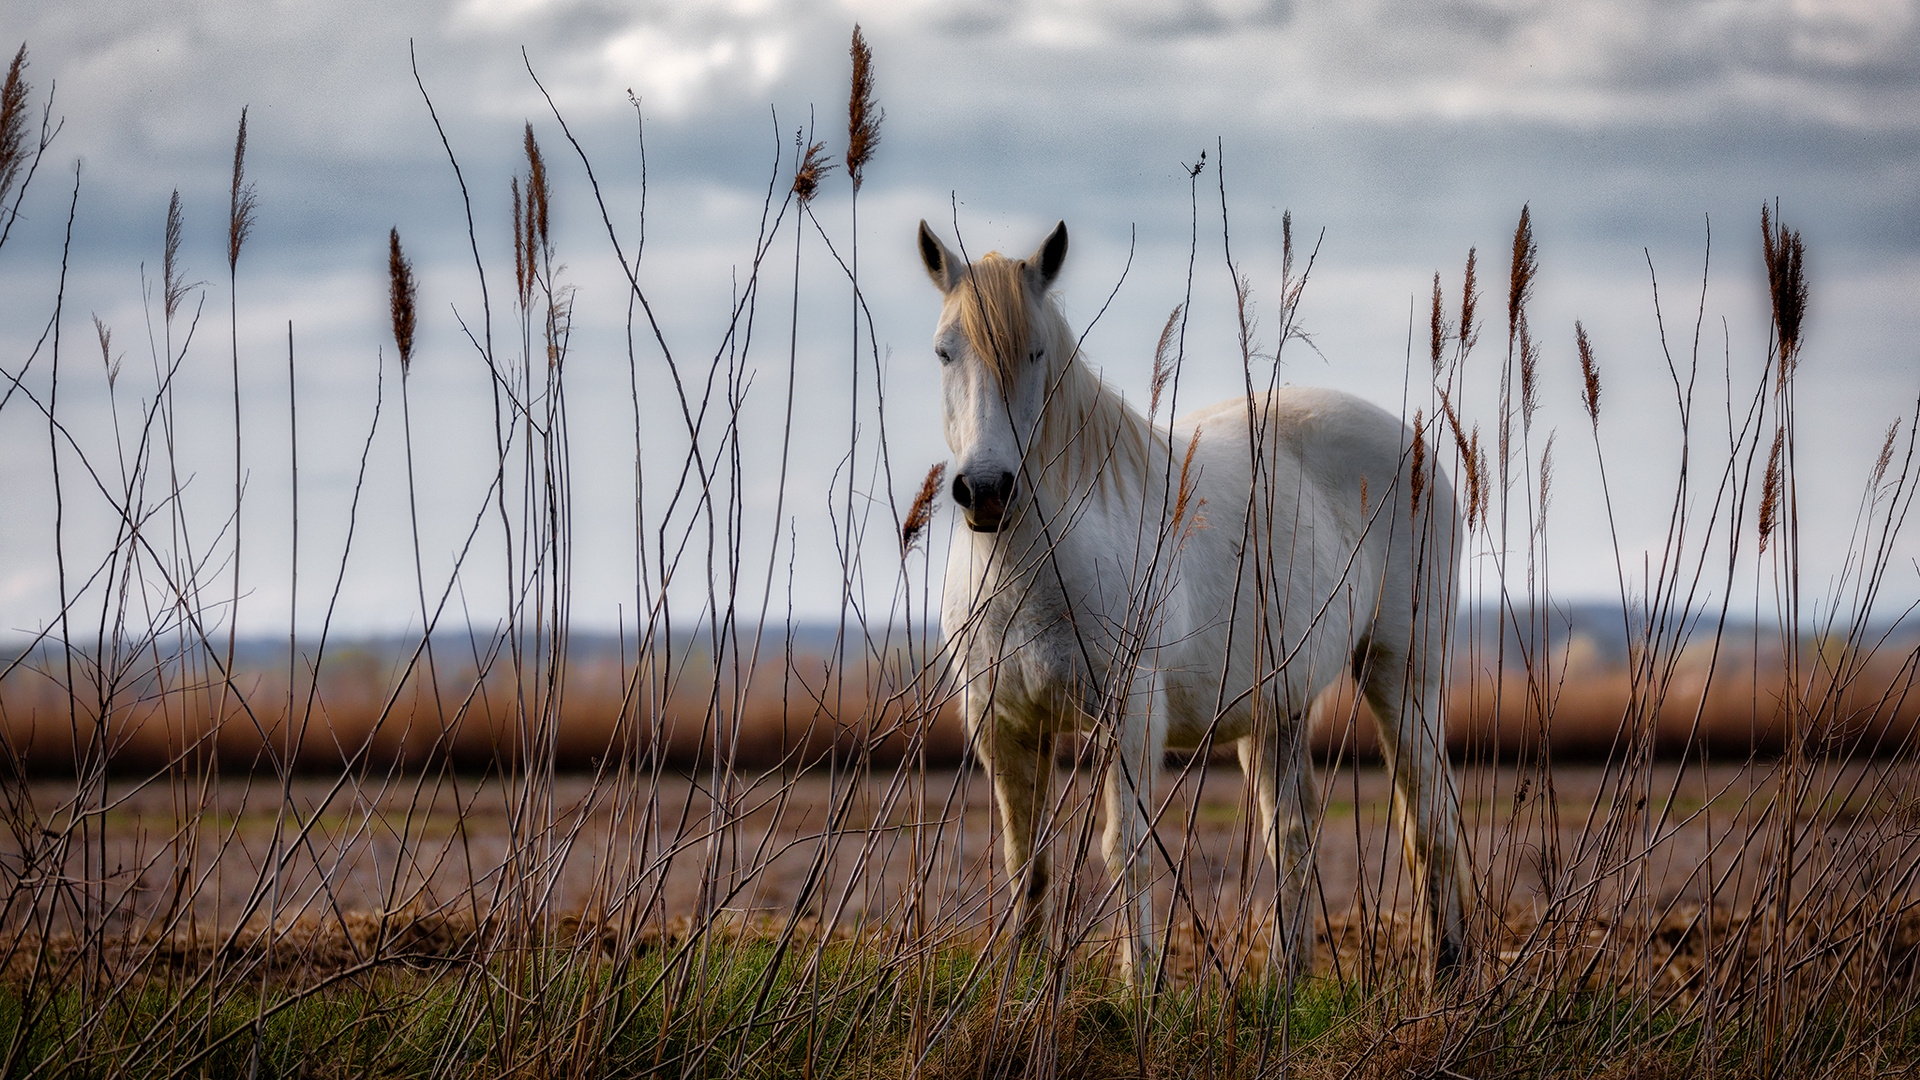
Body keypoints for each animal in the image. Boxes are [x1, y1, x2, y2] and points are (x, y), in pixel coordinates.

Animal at [913, 216, 1466, 983]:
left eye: (1036, 352)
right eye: (945, 351)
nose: (987, 490)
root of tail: (1422, 456)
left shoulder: (1131, 716)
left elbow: (1126, 850)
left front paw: (1140, 986)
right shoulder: (1004, 725)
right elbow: (1028, 859)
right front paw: (1022, 982)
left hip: (1402, 674)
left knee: (1429, 820)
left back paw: (1444, 970)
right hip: (1279, 710)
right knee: (1292, 832)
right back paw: (1285, 981)